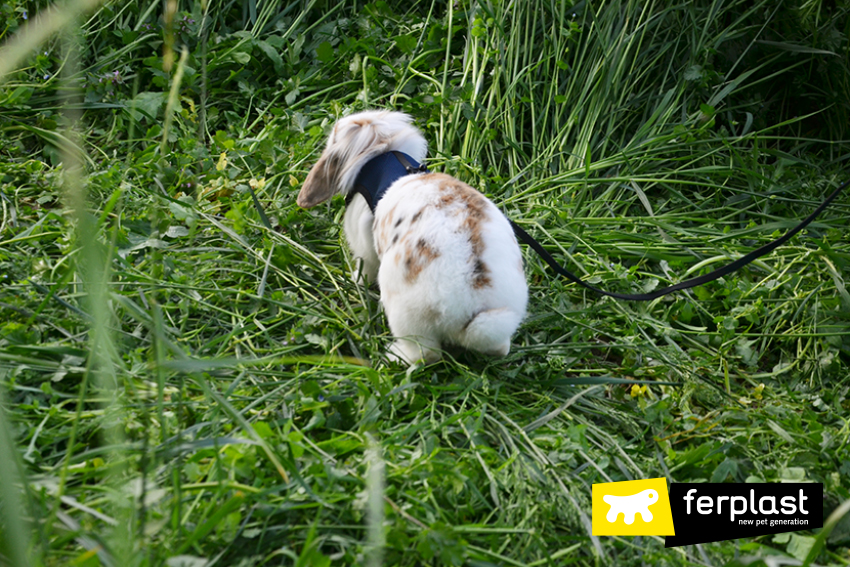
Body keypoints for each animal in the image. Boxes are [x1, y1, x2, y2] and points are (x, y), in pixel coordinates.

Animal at [294, 111, 528, 364]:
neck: (381, 154)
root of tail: (475, 307)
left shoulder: (364, 245)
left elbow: (364, 267)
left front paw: (355, 281)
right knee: (499, 347)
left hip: (403, 309)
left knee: (426, 353)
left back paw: (391, 355)